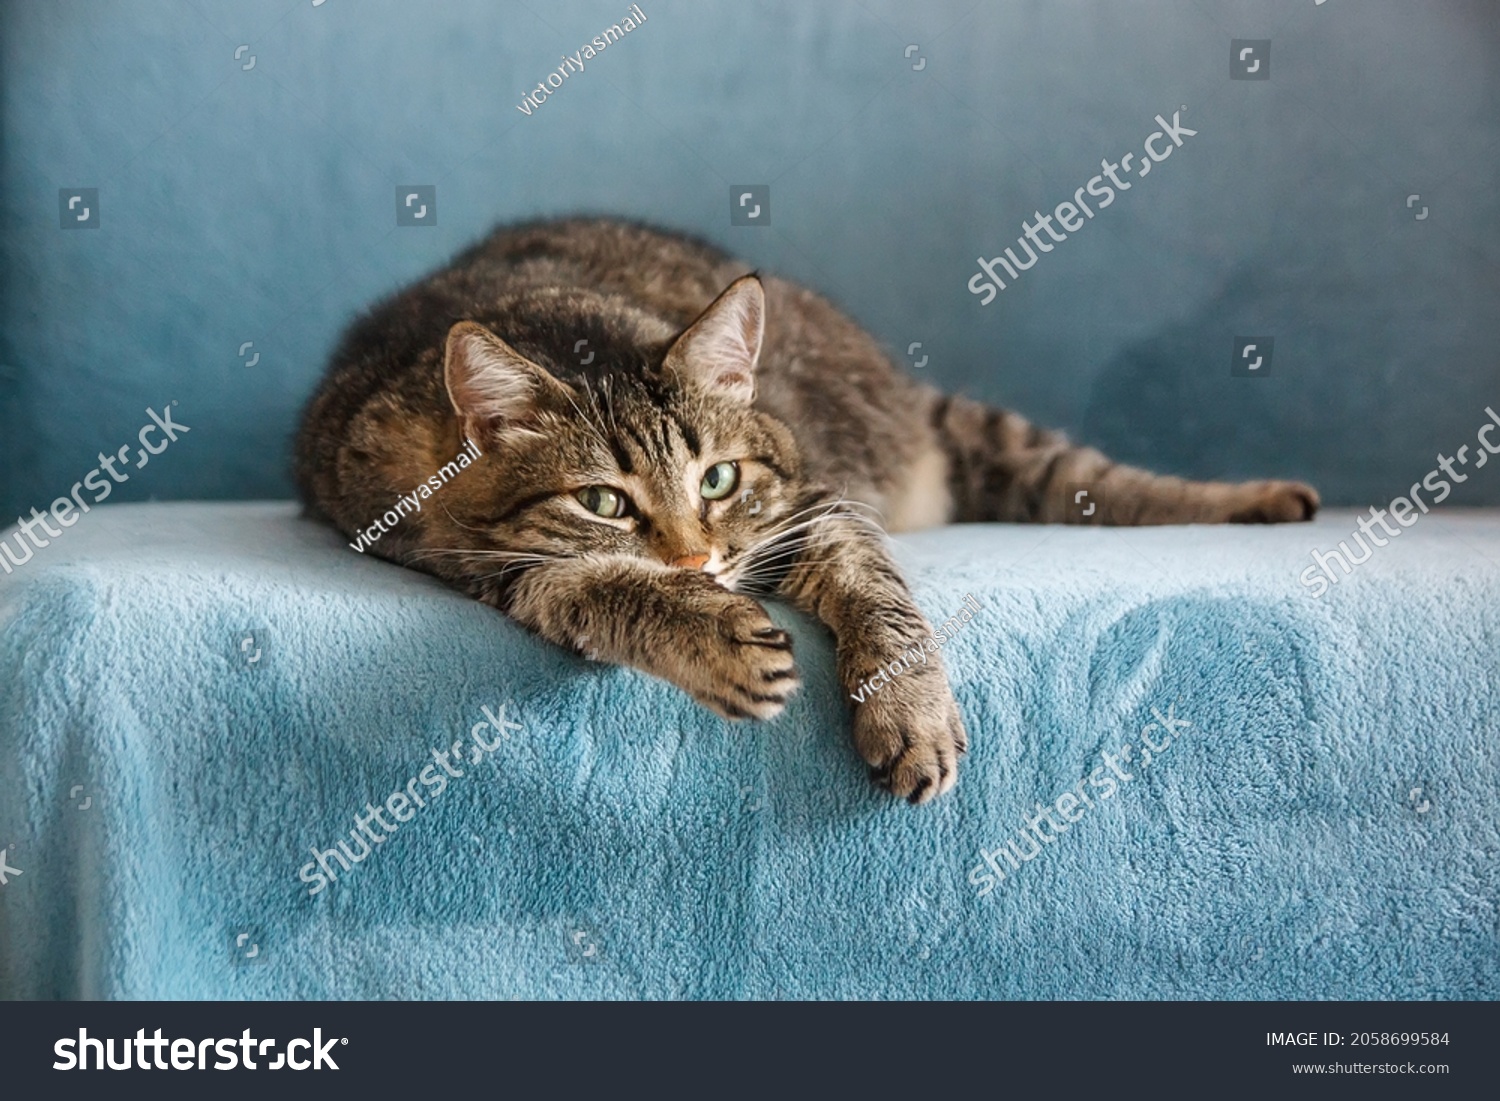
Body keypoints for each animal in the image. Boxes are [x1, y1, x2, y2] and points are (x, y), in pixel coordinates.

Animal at [298, 217, 1320, 804]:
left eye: (717, 480)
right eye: (602, 501)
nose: (697, 563)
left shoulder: (815, 505)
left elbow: (882, 596)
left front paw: (908, 708)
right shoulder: (467, 558)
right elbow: (594, 581)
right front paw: (711, 631)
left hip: (988, 442)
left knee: (1106, 479)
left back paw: (1265, 498)